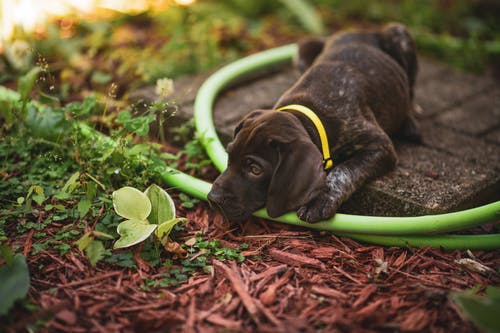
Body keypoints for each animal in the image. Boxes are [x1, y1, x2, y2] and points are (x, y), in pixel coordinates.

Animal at [207, 22, 422, 220]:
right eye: (229, 154)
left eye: (255, 169)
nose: (212, 198)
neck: (312, 112)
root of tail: (361, 29)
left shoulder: (381, 145)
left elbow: (345, 170)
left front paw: (321, 198)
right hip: (302, 49)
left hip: (399, 34)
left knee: (410, 88)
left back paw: (410, 122)